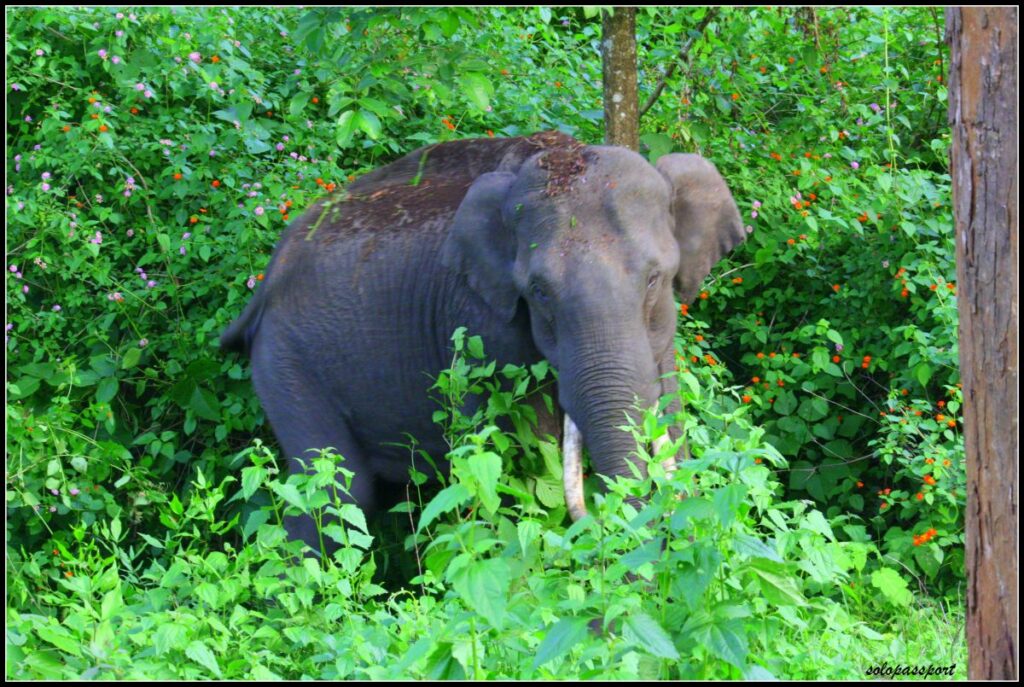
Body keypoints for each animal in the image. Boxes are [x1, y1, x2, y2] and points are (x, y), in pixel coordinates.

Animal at [220, 130, 745, 552]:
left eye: (656, 279)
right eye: (538, 292)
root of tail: (268, 276)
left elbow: (669, 418)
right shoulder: (475, 320)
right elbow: (513, 459)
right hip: (285, 363)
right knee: (335, 493)